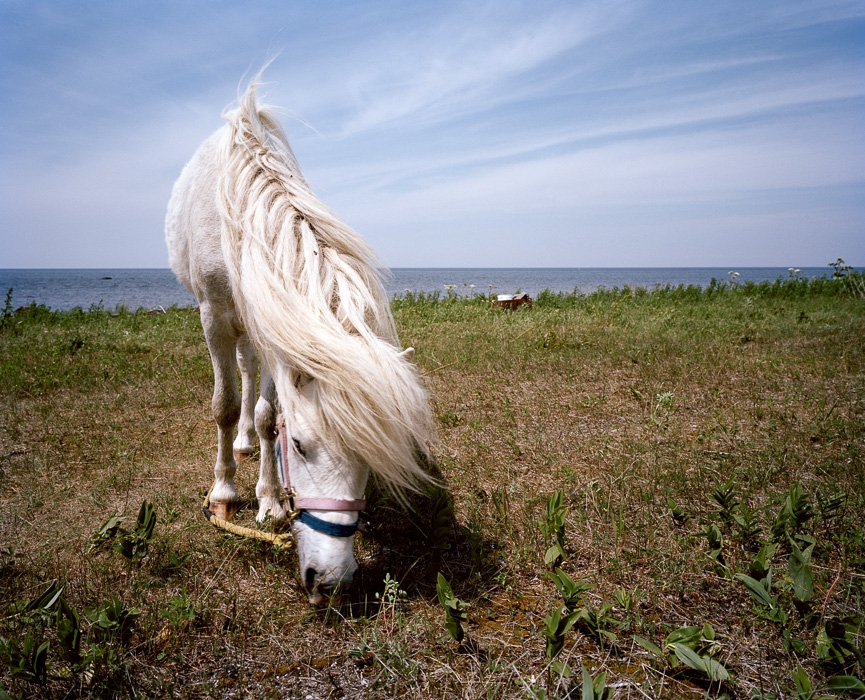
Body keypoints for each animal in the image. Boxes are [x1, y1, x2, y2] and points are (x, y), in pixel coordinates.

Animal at [164, 80, 432, 600]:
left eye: (370, 463)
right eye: (302, 446)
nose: (329, 580)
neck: (241, 215)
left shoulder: (276, 326)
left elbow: (269, 414)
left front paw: (269, 501)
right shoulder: (214, 315)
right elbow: (225, 405)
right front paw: (224, 493)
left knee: (250, 374)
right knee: (239, 382)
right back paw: (239, 446)